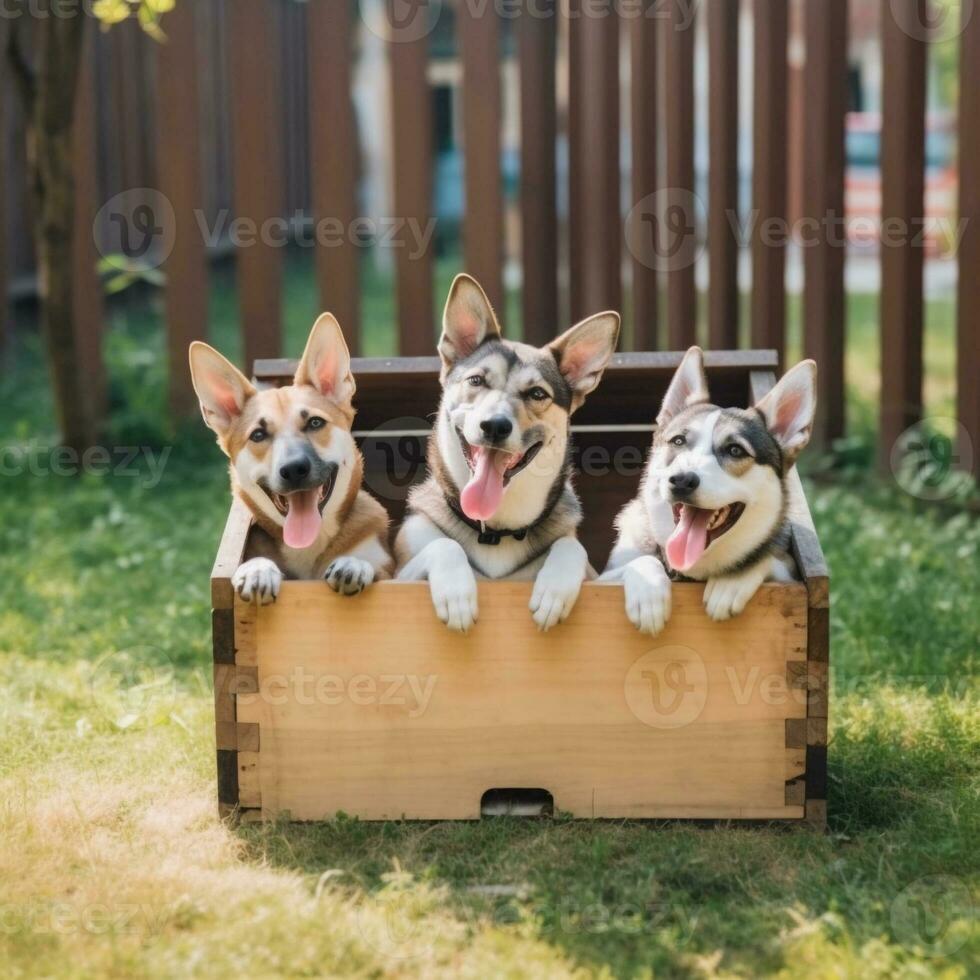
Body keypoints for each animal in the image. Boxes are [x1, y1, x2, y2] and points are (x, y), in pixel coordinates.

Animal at [189, 318, 392, 600]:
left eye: (315, 422)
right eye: (258, 434)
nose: (294, 469)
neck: (308, 544)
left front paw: (356, 563)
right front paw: (258, 569)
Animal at [392, 274, 616, 636]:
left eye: (537, 393)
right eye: (476, 380)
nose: (495, 426)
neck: (496, 532)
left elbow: (572, 546)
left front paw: (554, 588)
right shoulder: (400, 574)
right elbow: (443, 545)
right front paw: (456, 593)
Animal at [596, 348, 820, 632]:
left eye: (735, 450)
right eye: (678, 441)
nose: (682, 480)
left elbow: (768, 559)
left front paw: (732, 578)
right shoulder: (605, 576)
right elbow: (642, 561)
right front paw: (649, 590)